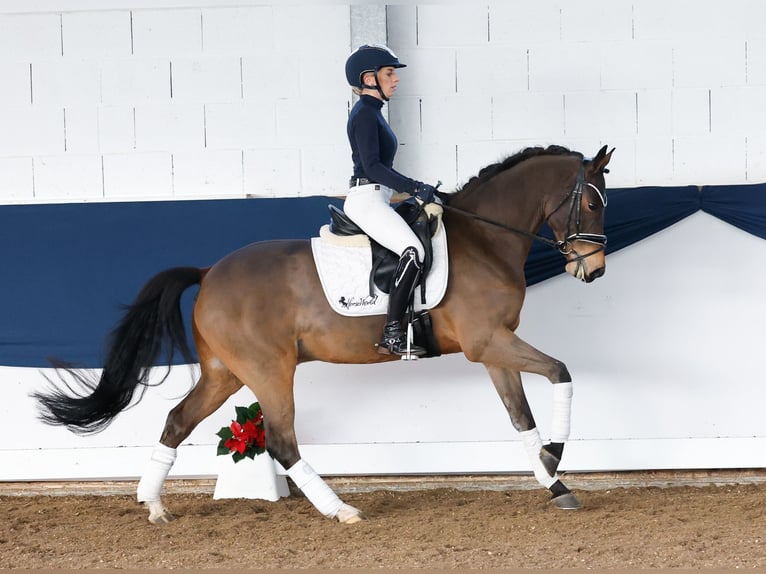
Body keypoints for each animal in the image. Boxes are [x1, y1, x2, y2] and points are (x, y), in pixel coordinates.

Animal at [34, 145, 616, 528]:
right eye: (591, 203)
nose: (594, 271)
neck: (485, 239)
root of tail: (209, 271)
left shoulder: (493, 348)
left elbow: (521, 417)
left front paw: (553, 480)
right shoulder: (486, 342)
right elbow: (561, 373)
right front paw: (556, 456)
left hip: (225, 373)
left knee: (178, 420)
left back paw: (154, 504)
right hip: (268, 369)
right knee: (281, 440)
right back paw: (341, 510)